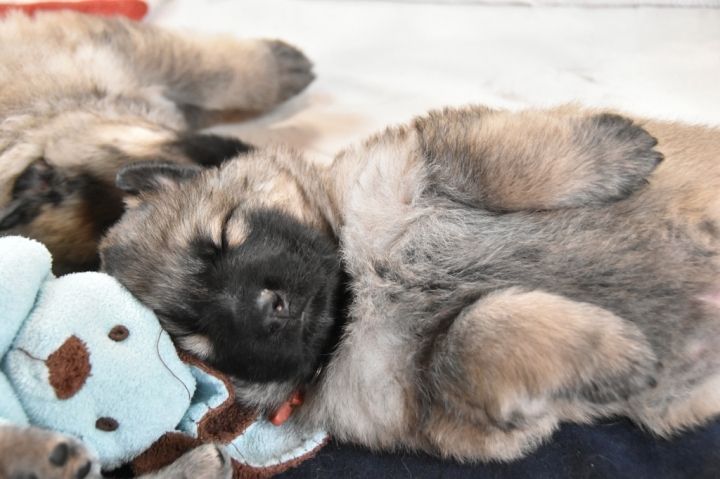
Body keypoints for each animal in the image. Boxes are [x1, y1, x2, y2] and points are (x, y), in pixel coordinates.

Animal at [100, 105, 720, 462]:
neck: (361, 292)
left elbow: (498, 164)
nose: (268, 307)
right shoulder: (435, 395)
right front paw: (612, 353)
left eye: (223, 236)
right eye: (200, 339)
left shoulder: (423, 161)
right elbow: (476, 330)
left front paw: (616, 151)